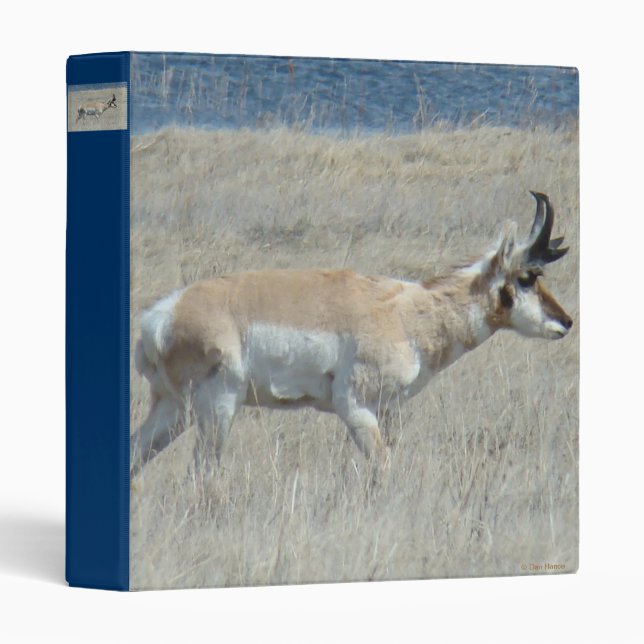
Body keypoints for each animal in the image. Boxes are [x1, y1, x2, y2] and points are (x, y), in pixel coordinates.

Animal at [132, 191, 573, 475]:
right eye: (527, 277)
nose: (567, 322)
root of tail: (162, 315)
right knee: (202, 472)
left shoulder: (388, 409)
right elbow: (383, 467)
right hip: (217, 407)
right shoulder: (356, 408)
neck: (407, 312)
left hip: (174, 410)